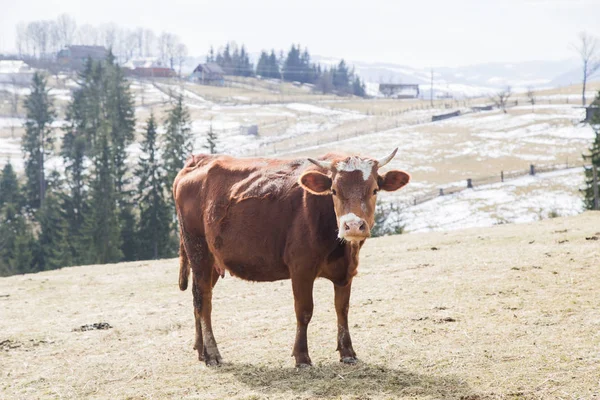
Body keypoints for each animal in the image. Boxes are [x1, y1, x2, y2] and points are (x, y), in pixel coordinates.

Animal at [171, 148, 410, 368]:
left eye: (374, 189)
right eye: (333, 190)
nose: (352, 225)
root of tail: (200, 159)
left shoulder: (346, 271)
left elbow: (342, 309)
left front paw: (347, 352)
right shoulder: (301, 268)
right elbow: (304, 311)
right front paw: (302, 356)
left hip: (212, 260)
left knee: (197, 298)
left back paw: (201, 350)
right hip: (198, 251)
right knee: (204, 301)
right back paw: (212, 353)